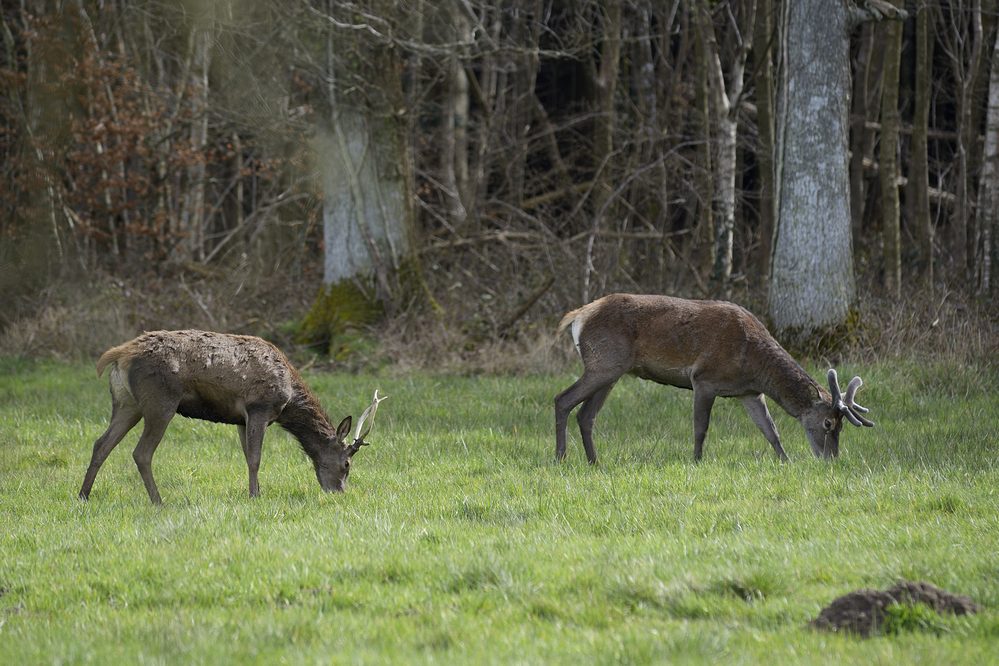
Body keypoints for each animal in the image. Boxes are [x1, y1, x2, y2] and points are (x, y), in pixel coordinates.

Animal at [78, 330, 388, 500]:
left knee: (101, 444)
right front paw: (255, 496)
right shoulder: (259, 408)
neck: (289, 400)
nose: (338, 492)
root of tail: (120, 354)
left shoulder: (241, 419)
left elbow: (246, 455)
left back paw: (83, 495)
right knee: (141, 452)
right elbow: (255, 458)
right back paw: (158, 501)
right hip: (160, 401)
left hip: (126, 403)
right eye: (347, 464)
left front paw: (257, 491)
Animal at [556, 294, 876, 464]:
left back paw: (594, 462)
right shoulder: (704, 379)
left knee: (586, 414)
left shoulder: (749, 393)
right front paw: (696, 461)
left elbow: (771, 430)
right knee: (562, 400)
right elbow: (701, 428)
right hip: (604, 363)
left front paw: (785, 461)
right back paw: (561, 458)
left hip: (612, 371)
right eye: (829, 423)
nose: (832, 458)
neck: (754, 364)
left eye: (842, 425)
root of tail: (579, 315)